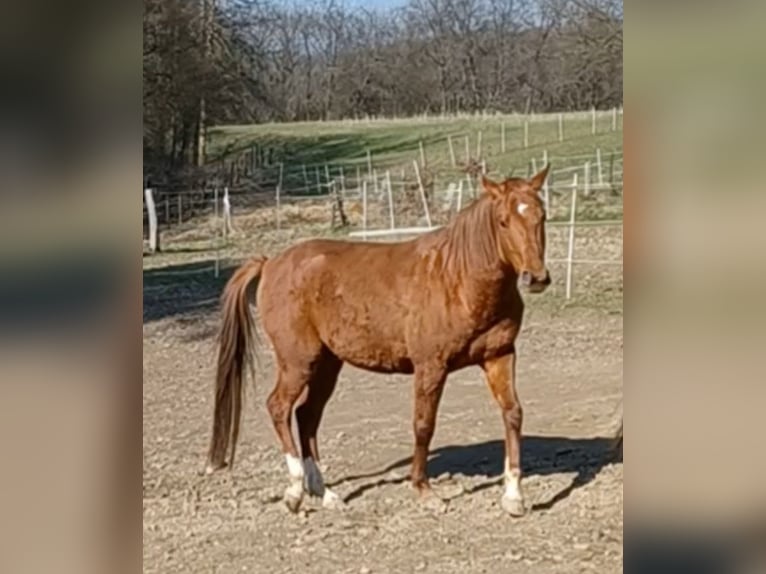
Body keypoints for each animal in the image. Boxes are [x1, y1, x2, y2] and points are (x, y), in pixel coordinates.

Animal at [208, 166, 552, 516]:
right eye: (503, 221)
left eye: (542, 215)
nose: (536, 278)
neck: (459, 279)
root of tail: (271, 263)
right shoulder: (430, 366)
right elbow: (424, 424)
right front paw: (424, 490)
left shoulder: (500, 356)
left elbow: (512, 413)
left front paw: (514, 496)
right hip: (298, 362)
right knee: (279, 407)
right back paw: (294, 492)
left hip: (327, 365)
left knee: (307, 415)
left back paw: (325, 492)